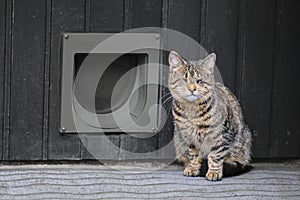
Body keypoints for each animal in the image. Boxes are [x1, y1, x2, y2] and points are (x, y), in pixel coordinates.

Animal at [169, 50, 251, 180]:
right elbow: (193, 155)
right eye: (185, 80)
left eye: (199, 81)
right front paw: (193, 168)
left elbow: (215, 155)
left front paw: (214, 172)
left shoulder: (221, 135)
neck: (192, 111)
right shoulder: (188, 137)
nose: (192, 89)